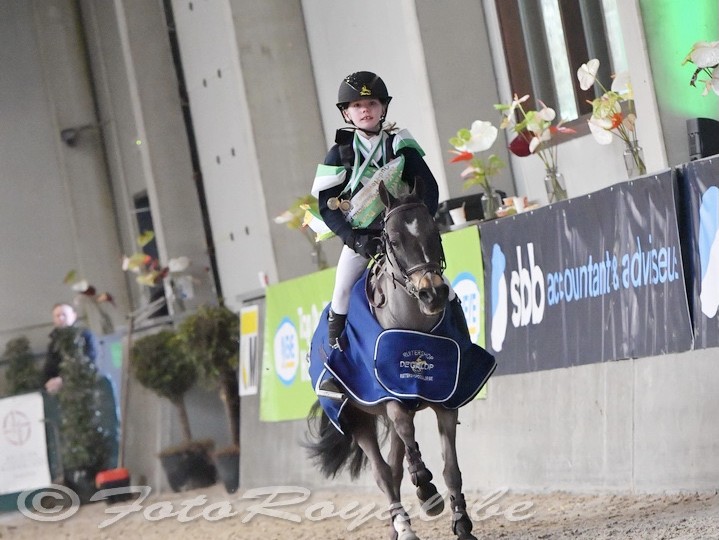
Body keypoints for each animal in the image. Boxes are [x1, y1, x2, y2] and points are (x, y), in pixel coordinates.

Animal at [304, 181, 496, 540]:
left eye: (434, 230)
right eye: (392, 240)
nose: (432, 293)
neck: (412, 323)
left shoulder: (446, 400)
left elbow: (452, 469)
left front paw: (461, 523)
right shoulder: (389, 395)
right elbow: (409, 439)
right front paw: (427, 491)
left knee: (393, 469)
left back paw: (398, 527)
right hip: (356, 416)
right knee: (383, 473)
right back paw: (404, 525)